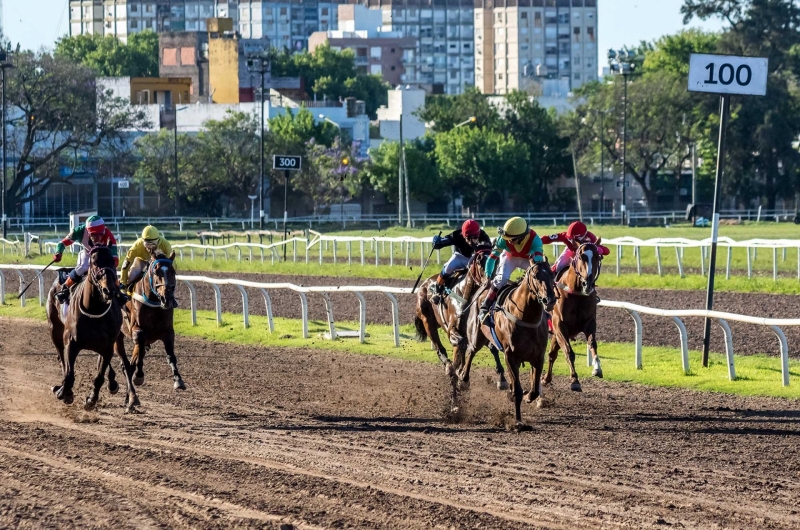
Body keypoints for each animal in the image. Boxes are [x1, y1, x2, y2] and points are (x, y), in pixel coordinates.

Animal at [45, 245, 138, 410]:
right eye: (94, 262)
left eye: (112, 262)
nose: (109, 290)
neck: (94, 310)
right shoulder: (71, 342)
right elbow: (69, 374)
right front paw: (64, 392)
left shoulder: (107, 347)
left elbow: (99, 376)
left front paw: (91, 399)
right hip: (54, 328)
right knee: (61, 357)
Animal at [113, 246, 184, 388]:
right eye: (156, 271)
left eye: (173, 271)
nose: (166, 298)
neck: (154, 303)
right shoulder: (137, 329)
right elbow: (140, 348)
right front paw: (139, 375)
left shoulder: (167, 331)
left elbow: (171, 355)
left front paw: (178, 379)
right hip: (118, 334)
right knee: (123, 355)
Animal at [412, 250, 506, 386]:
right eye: (480, 263)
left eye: (497, 263)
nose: (492, 283)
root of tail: (425, 284)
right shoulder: (452, 328)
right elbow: (461, 343)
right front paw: (459, 370)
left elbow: (492, 347)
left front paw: (502, 377)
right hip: (427, 321)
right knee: (440, 348)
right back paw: (449, 367)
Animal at [462, 260, 556, 428]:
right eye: (535, 276)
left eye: (552, 274)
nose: (549, 300)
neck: (526, 317)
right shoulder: (511, 356)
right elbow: (518, 390)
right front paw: (518, 421)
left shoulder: (538, 357)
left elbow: (534, 389)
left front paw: (528, 397)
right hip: (476, 336)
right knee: (470, 352)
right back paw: (463, 380)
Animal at [544, 241, 608, 390]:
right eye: (581, 256)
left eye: (597, 257)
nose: (587, 284)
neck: (577, 293)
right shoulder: (560, 326)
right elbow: (569, 352)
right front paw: (574, 380)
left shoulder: (589, 322)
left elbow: (592, 343)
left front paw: (597, 368)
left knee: (552, 354)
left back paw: (546, 378)